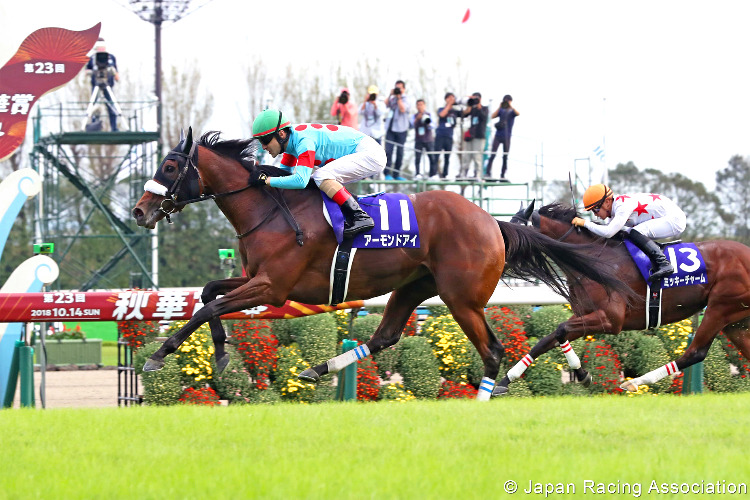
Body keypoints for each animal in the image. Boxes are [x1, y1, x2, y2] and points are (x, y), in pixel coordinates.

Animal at [134, 128, 636, 398]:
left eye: (170, 167)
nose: (140, 211)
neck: (269, 210)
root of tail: (490, 222)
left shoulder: (273, 287)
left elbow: (211, 306)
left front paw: (161, 354)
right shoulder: (255, 278)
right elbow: (208, 294)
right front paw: (219, 353)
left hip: (461, 298)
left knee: (492, 351)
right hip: (414, 286)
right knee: (385, 336)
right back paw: (318, 369)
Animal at [500, 200, 750, 394]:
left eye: (513, 231)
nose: (497, 256)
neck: (593, 261)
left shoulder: (611, 319)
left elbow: (560, 330)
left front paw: (582, 374)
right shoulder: (584, 315)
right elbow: (546, 340)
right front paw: (503, 382)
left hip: (720, 308)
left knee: (695, 352)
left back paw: (635, 382)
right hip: (736, 321)